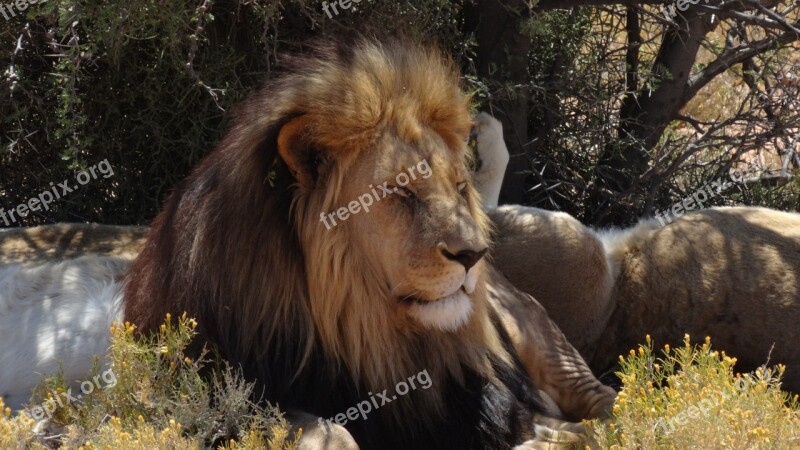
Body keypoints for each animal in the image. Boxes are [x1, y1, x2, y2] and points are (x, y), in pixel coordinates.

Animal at [0, 39, 616, 450]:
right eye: (401, 193)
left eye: (457, 189)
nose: (472, 256)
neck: (365, 331)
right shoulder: (236, 394)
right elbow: (337, 433)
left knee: (608, 404)